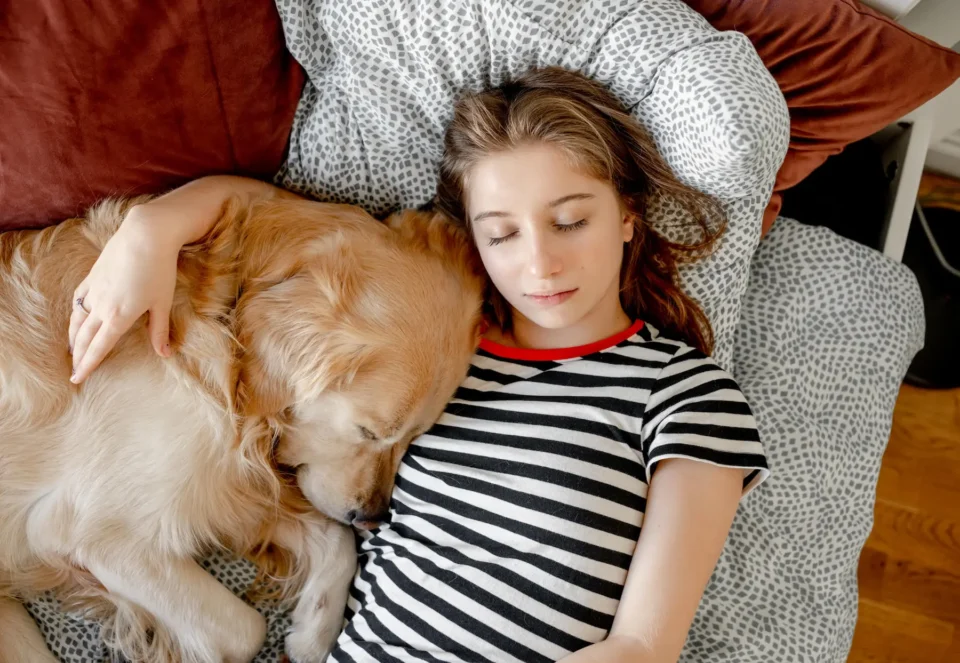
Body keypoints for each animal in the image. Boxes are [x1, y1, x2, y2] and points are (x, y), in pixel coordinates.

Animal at [0, 195, 480, 663]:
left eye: (413, 437)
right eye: (370, 431)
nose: (374, 516)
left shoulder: (233, 491)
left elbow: (334, 540)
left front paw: (313, 632)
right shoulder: (97, 533)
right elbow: (246, 631)